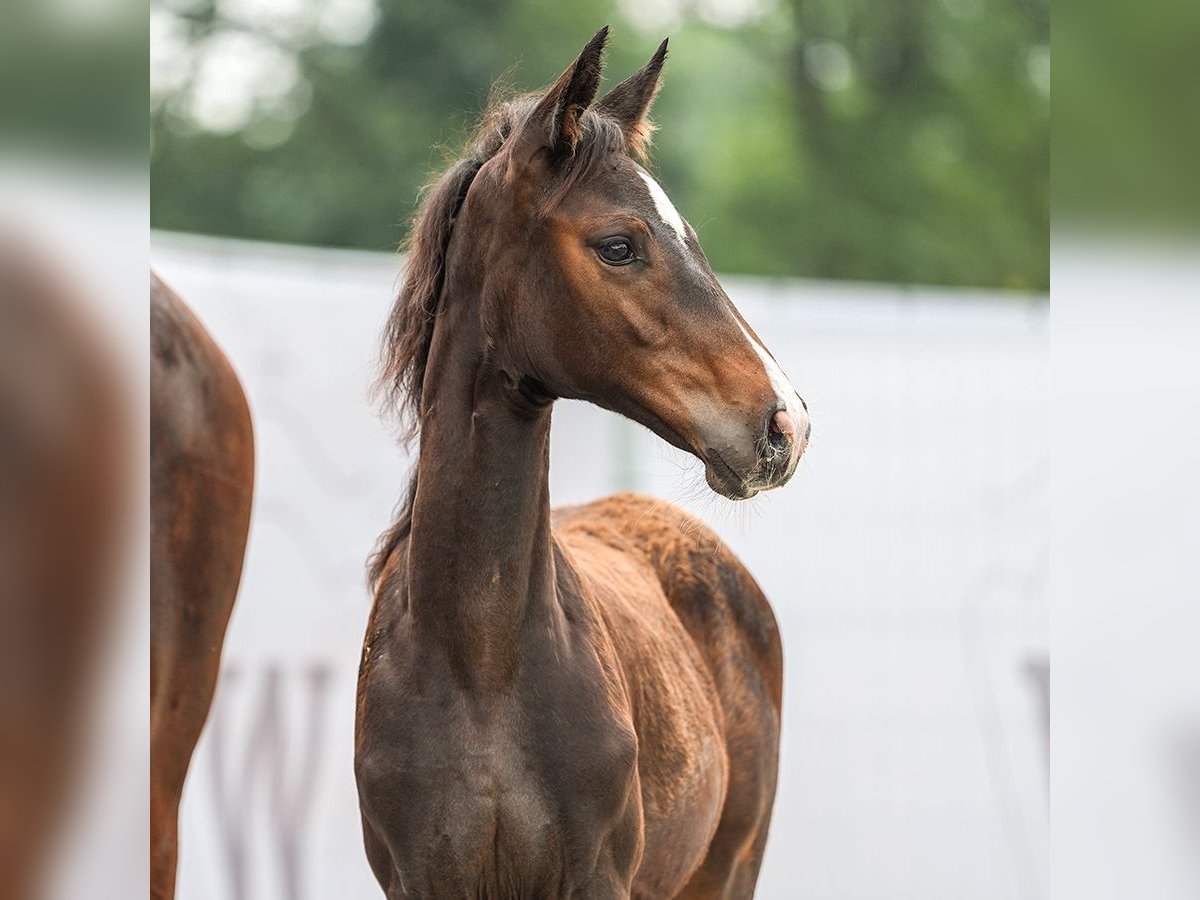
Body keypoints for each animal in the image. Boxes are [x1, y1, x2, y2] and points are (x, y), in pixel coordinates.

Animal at [352, 30, 806, 900]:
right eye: (619, 246)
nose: (784, 423)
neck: (479, 660)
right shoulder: (416, 879)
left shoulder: (597, 876)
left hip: (729, 869)